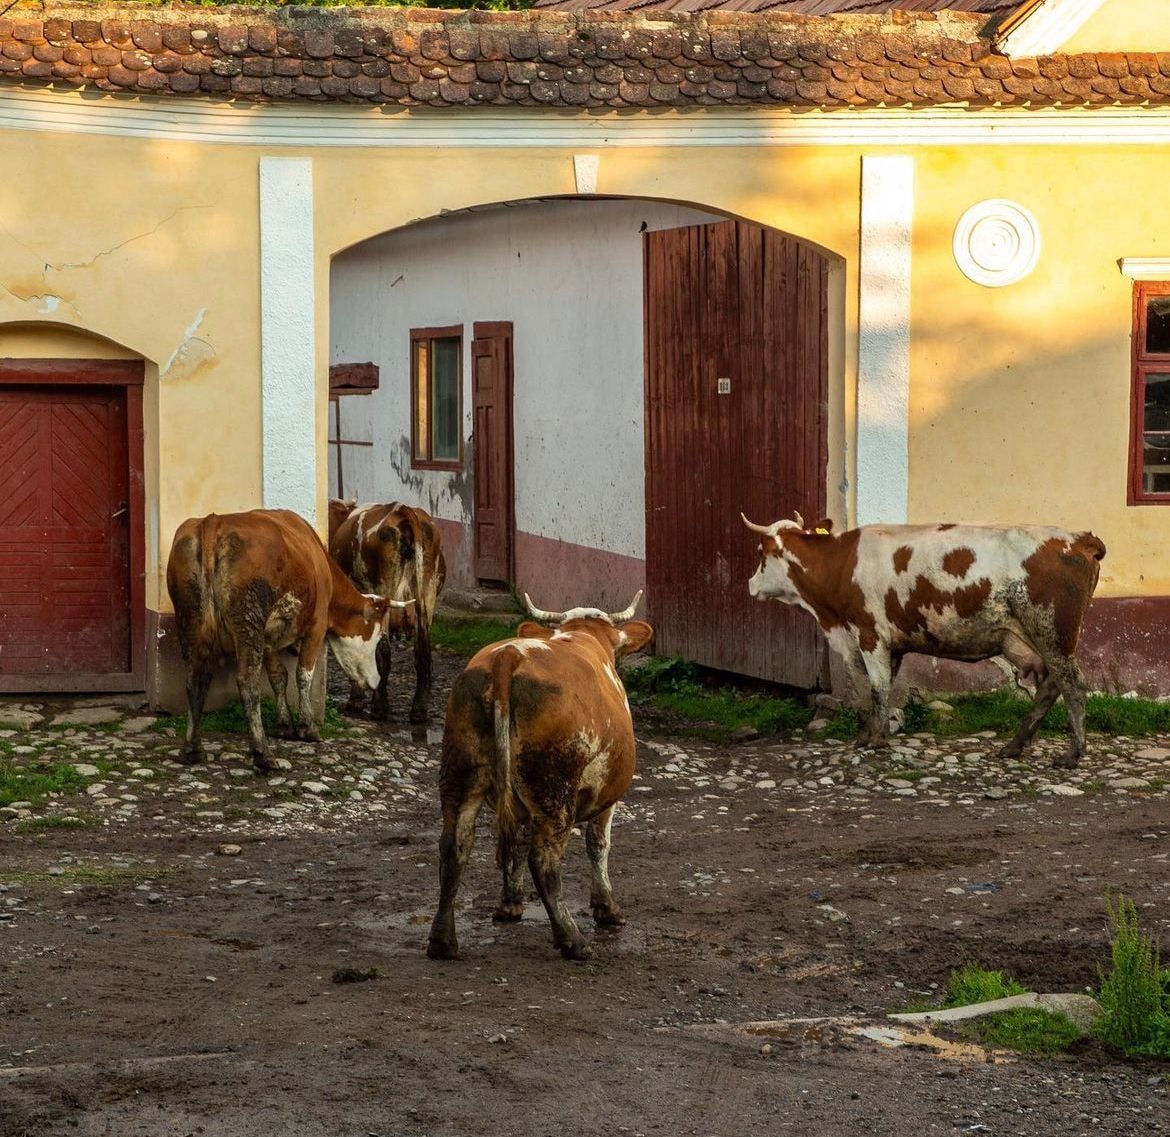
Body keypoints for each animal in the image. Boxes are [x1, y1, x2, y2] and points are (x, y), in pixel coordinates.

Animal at [166, 508, 411, 774]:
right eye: (377, 638)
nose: (375, 680)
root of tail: (215, 521)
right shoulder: (316, 626)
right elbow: (303, 674)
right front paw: (308, 726)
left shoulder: (269, 637)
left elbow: (278, 676)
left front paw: (284, 725)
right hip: (248, 621)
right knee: (247, 682)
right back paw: (262, 753)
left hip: (190, 618)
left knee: (196, 679)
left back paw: (192, 748)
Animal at [328, 499, 447, 724]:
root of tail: (402, 509)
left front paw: (356, 698)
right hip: (427, 593)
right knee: (423, 653)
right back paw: (419, 710)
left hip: (383, 590)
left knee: (383, 650)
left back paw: (380, 706)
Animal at [427, 590, 653, 962]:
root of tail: (508, 657)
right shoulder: (606, 796)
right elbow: (598, 844)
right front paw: (606, 908)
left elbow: (515, 843)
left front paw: (510, 904)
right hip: (554, 792)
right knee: (544, 859)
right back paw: (572, 939)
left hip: (460, 774)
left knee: (454, 846)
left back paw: (443, 940)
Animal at [742, 514, 1106, 769]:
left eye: (760, 553)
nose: (749, 584)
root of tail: (1079, 539)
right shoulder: (891, 644)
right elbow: (879, 689)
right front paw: (871, 734)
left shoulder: (870, 634)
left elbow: (877, 688)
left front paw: (874, 740)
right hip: (1039, 640)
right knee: (1051, 686)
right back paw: (1014, 745)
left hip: (1052, 633)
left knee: (1073, 685)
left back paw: (1074, 753)